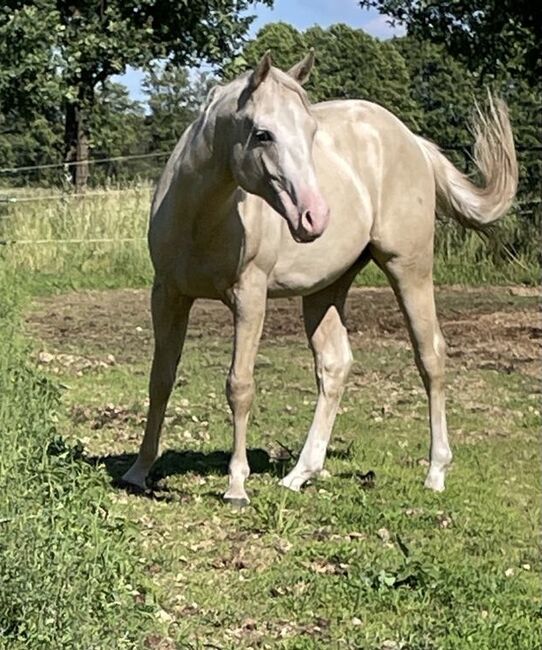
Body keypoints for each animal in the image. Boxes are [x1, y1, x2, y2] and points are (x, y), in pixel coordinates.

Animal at [121, 52, 520, 506]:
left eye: (311, 132)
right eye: (263, 134)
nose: (315, 216)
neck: (202, 217)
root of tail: (412, 141)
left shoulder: (249, 297)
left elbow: (240, 385)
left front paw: (236, 486)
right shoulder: (167, 294)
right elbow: (160, 379)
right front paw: (138, 471)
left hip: (409, 269)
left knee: (430, 356)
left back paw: (435, 472)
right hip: (326, 288)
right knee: (335, 365)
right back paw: (301, 473)